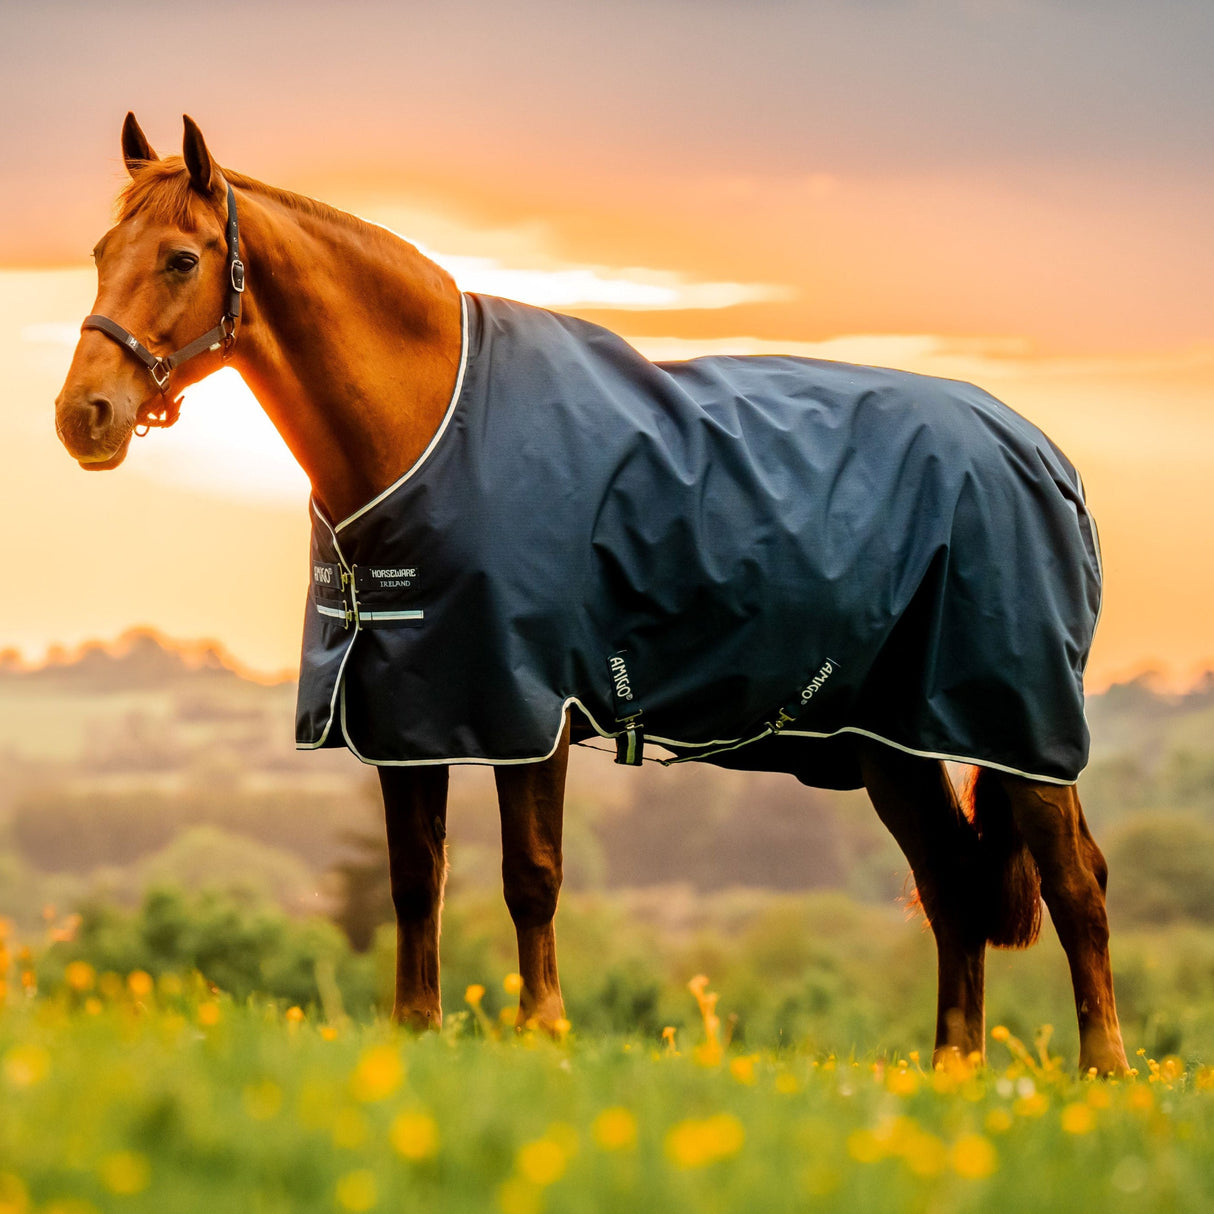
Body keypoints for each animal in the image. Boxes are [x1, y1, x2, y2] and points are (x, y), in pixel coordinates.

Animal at [54, 114, 1128, 1075]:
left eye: (182, 259)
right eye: (102, 250)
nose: (83, 416)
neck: (432, 427)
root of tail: (1045, 457)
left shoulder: (527, 707)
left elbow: (531, 877)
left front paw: (544, 1032)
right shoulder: (409, 711)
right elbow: (415, 881)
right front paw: (417, 1031)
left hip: (1021, 727)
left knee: (1077, 885)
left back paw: (1106, 1074)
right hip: (889, 742)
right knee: (951, 885)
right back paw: (954, 1072)